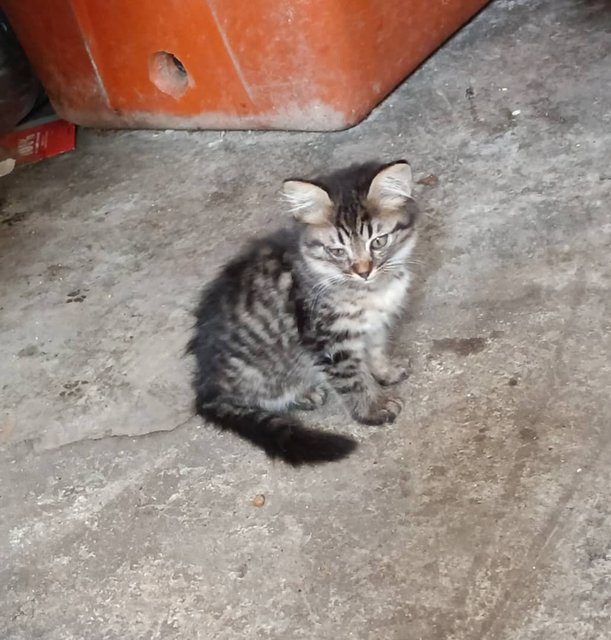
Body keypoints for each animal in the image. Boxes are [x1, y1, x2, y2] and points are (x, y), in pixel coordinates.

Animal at [190, 158, 420, 462]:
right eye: (337, 251)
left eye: (378, 242)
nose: (363, 271)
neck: (370, 291)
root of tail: (206, 387)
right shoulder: (327, 340)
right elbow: (353, 379)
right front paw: (372, 409)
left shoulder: (374, 324)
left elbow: (376, 350)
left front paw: (386, 371)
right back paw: (303, 393)